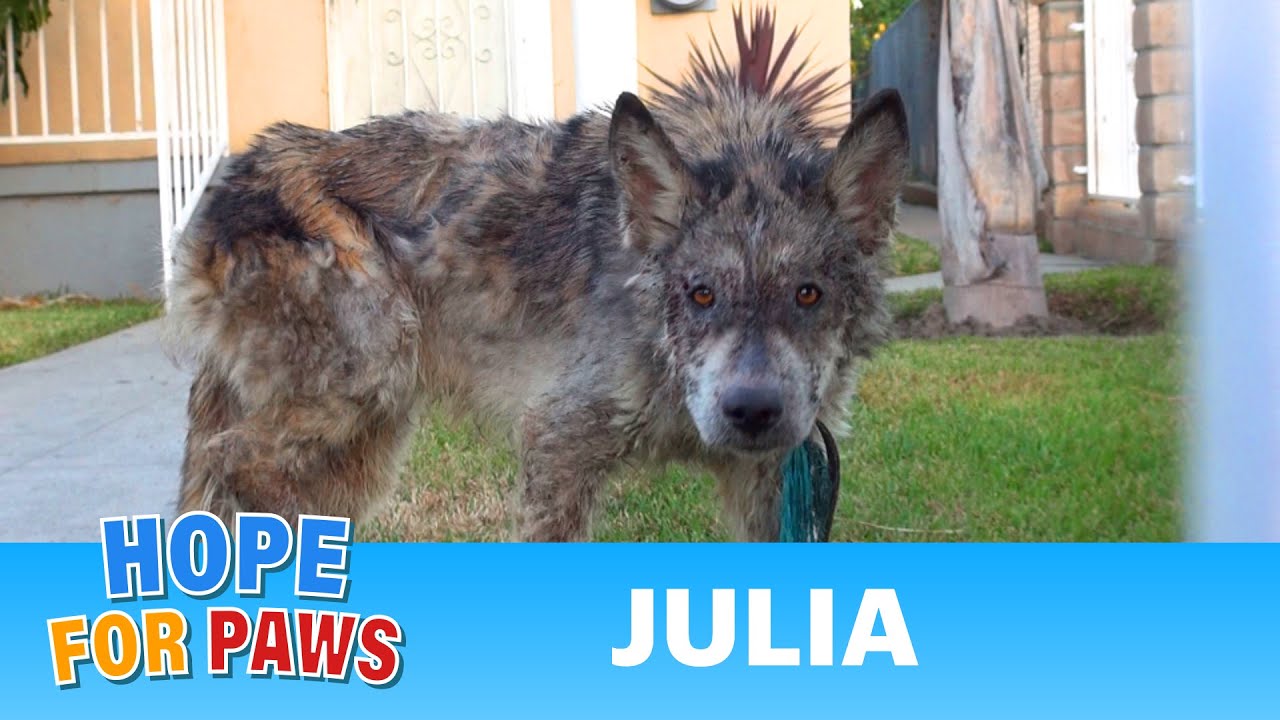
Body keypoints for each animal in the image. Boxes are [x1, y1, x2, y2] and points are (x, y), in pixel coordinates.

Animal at [166, 8, 908, 541]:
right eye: (701, 294)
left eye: (807, 294)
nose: (751, 410)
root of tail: (231, 180)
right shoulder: (558, 442)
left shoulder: (771, 480)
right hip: (354, 396)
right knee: (235, 472)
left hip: (363, 450)